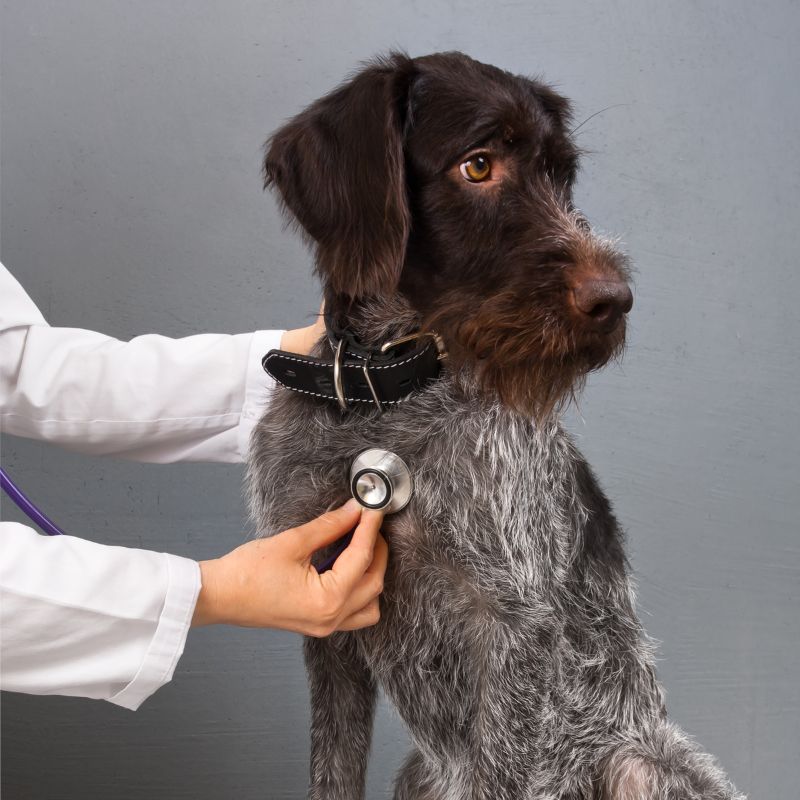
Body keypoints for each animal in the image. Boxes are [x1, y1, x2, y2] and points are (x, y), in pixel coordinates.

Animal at [245, 51, 744, 800]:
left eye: (561, 174)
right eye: (478, 165)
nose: (614, 299)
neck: (387, 398)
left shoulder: (511, 633)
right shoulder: (330, 619)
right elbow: (332, 770)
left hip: (639, 763)